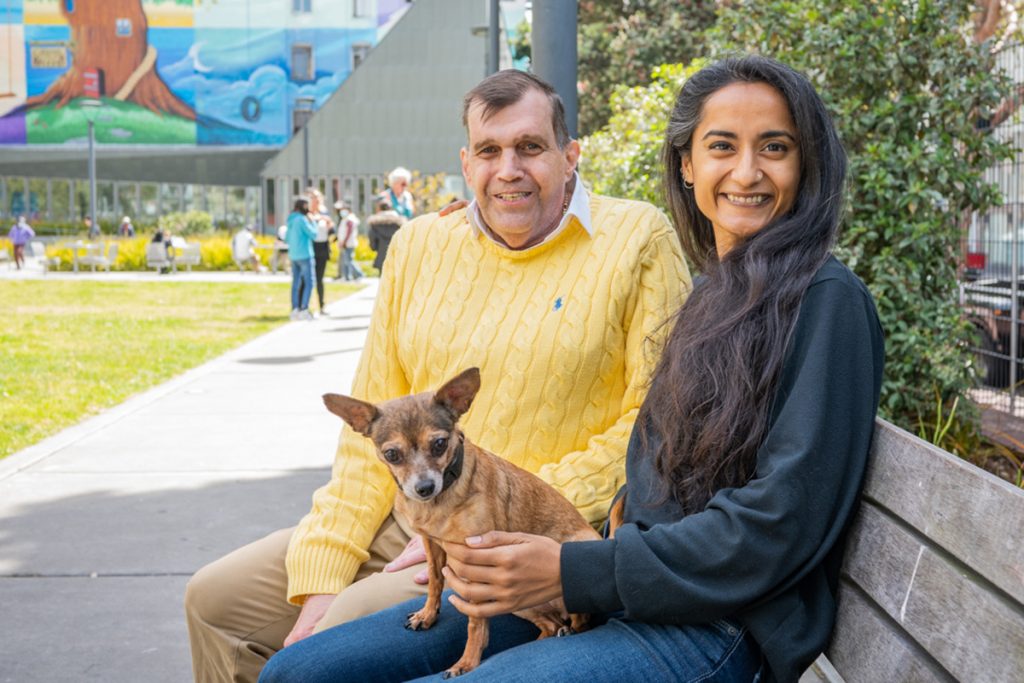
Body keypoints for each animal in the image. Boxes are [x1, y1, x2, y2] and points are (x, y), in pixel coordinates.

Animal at [323, 368, 598, 679]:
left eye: (439, 444)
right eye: (392, 454)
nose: (424, 487)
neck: (439, 502)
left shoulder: (480, 563)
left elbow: (475, 622)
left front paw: (466, 663)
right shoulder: (432, 545)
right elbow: (435, 579)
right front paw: (427, 615)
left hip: (571, 556)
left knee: (579, 619)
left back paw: (571, 631)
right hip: (519, 604)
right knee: (551, 624)